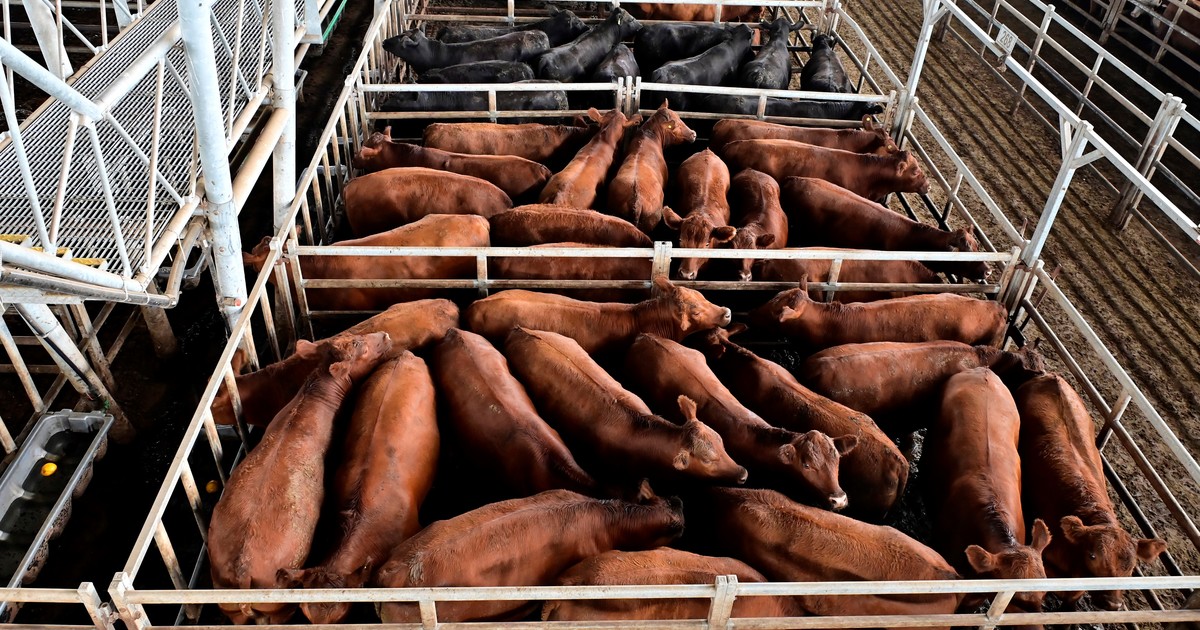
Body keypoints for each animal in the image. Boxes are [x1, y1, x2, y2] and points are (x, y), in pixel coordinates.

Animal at [208, 333, 392, 624]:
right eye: (357, 345)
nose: (385, 335)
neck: (314, 396)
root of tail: (242, 571)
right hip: (281, 605)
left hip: (230, 606)